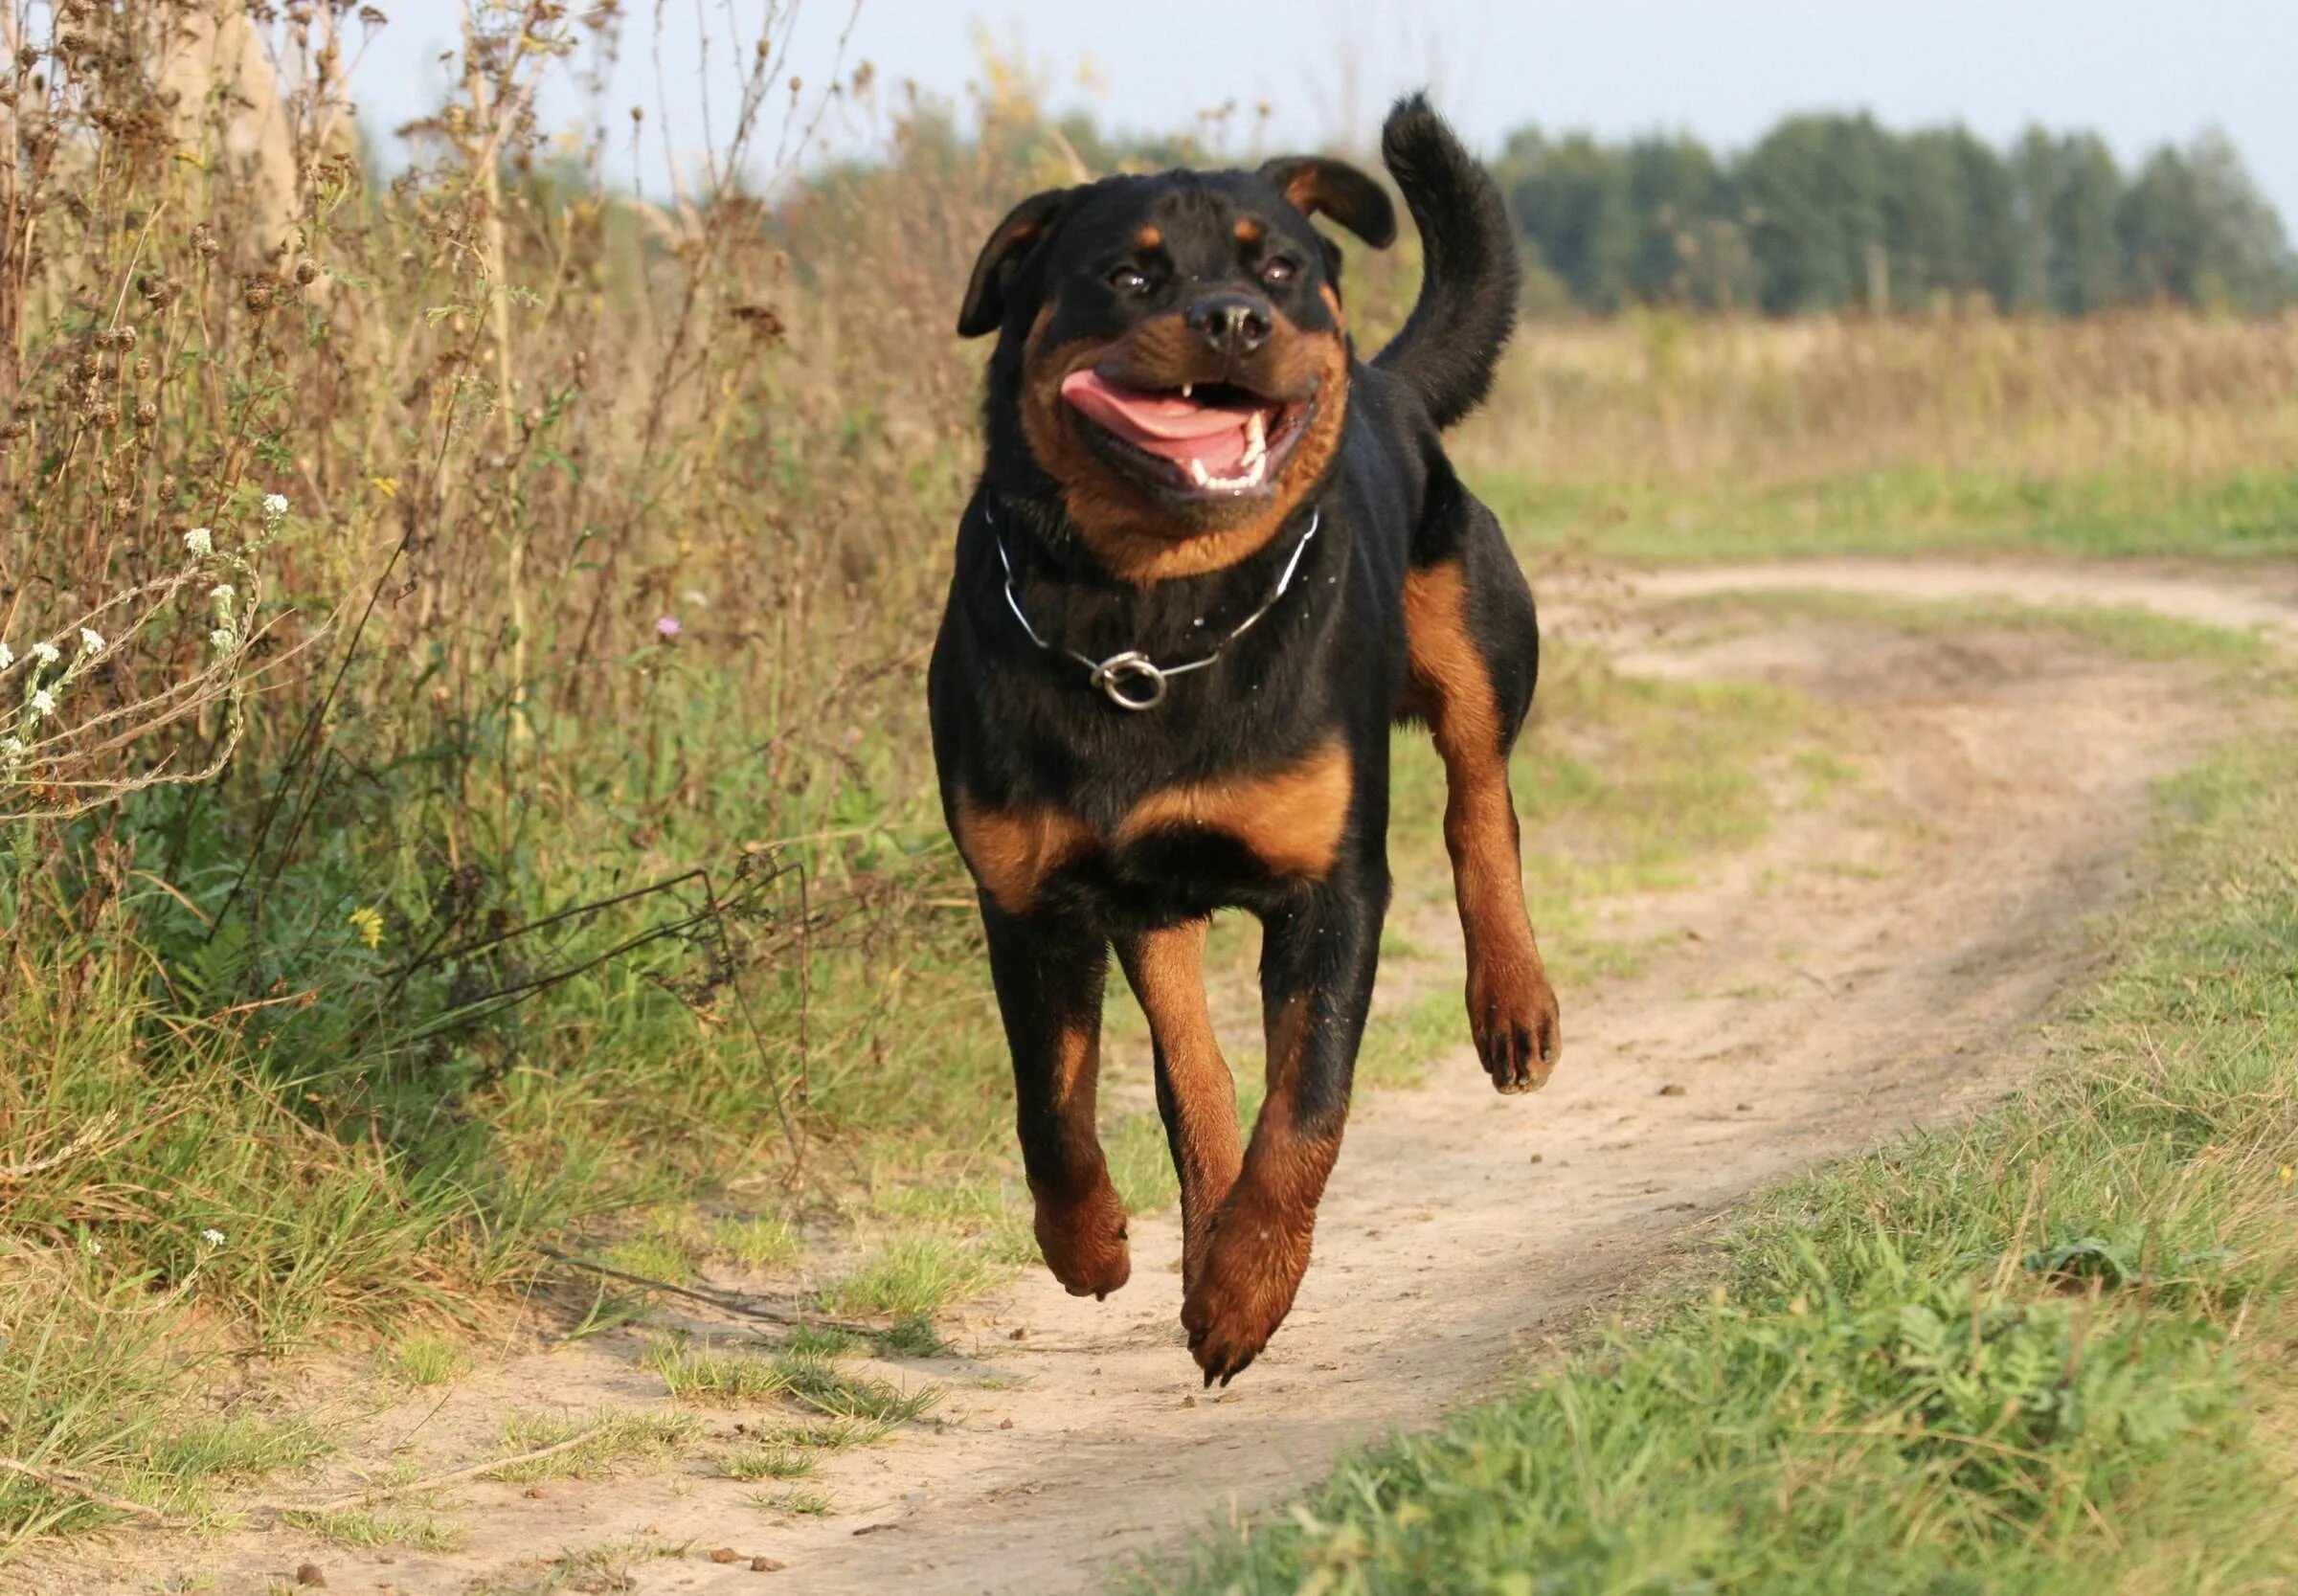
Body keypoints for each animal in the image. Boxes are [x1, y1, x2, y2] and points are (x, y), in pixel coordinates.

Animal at [928, 97, 1563, 1386]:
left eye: (1277, 267)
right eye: (1128, 275)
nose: (1233, 316)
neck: (1149, 621)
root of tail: (1387, 381)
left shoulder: (1333, 890)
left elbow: (1306, 1106)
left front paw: (1248, 1288)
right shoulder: (1027, 897)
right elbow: (1054, 1106)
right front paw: (1094, 1243)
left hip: (1473, 619)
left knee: (1480, 796)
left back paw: (1512, 999)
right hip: (1145, 901)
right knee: (1192, 1063)